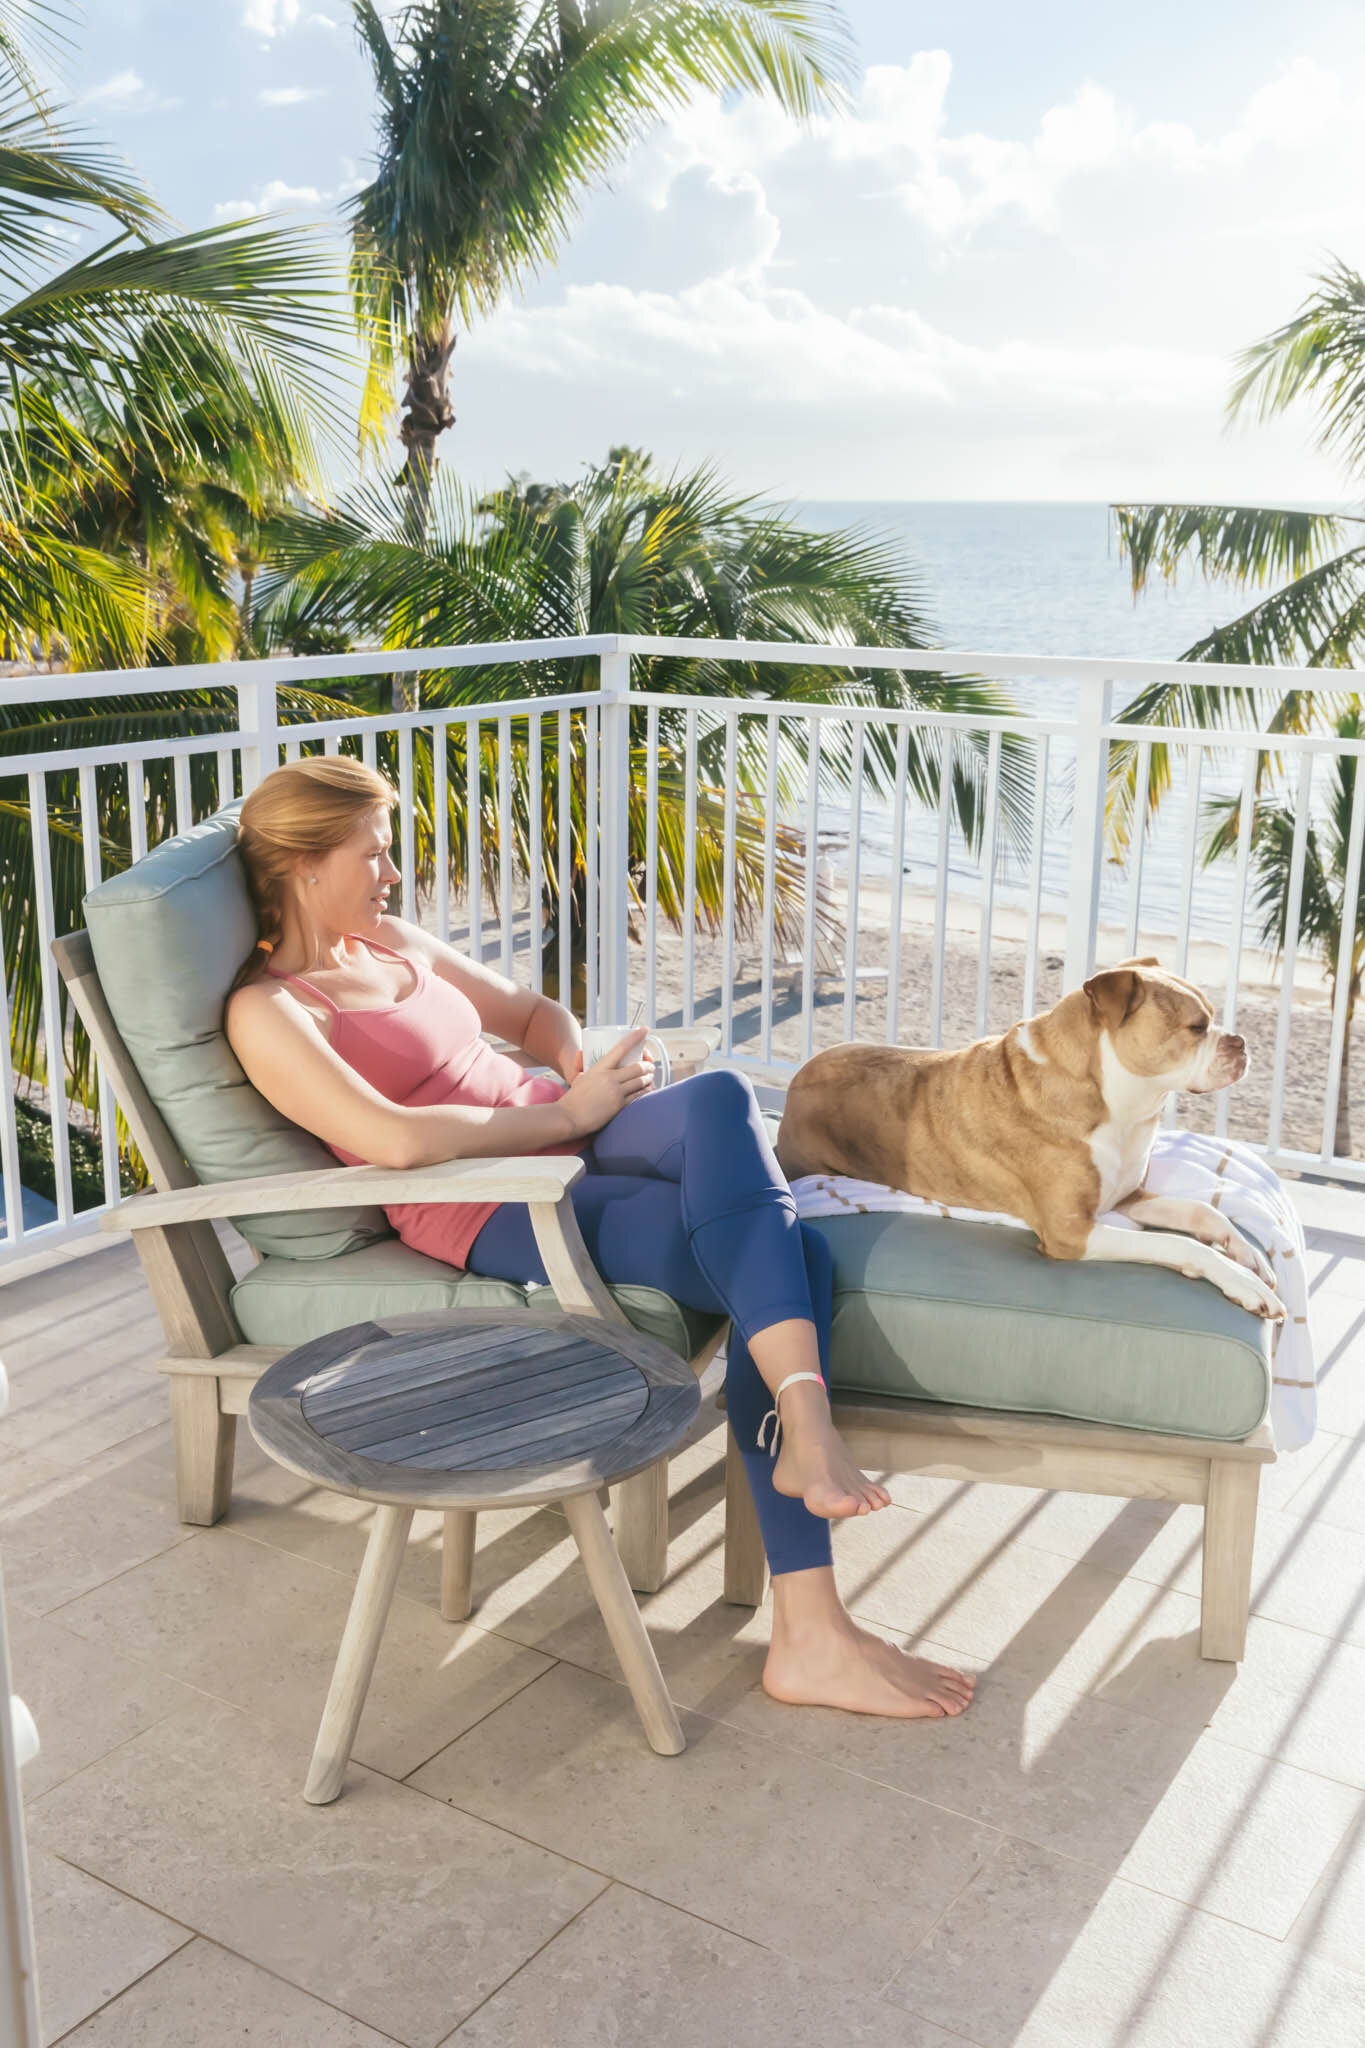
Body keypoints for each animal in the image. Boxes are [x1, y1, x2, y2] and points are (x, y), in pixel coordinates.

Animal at [777, 950, 1285, 1318]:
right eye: (1197, 1027)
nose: (1241, 1043)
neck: (1119, 1104)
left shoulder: (1126, 1196)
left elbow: (1203, 1211)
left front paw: (1247, 1256)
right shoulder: (1072, 1233)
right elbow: (1174, 1242)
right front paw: (1242, 1283)